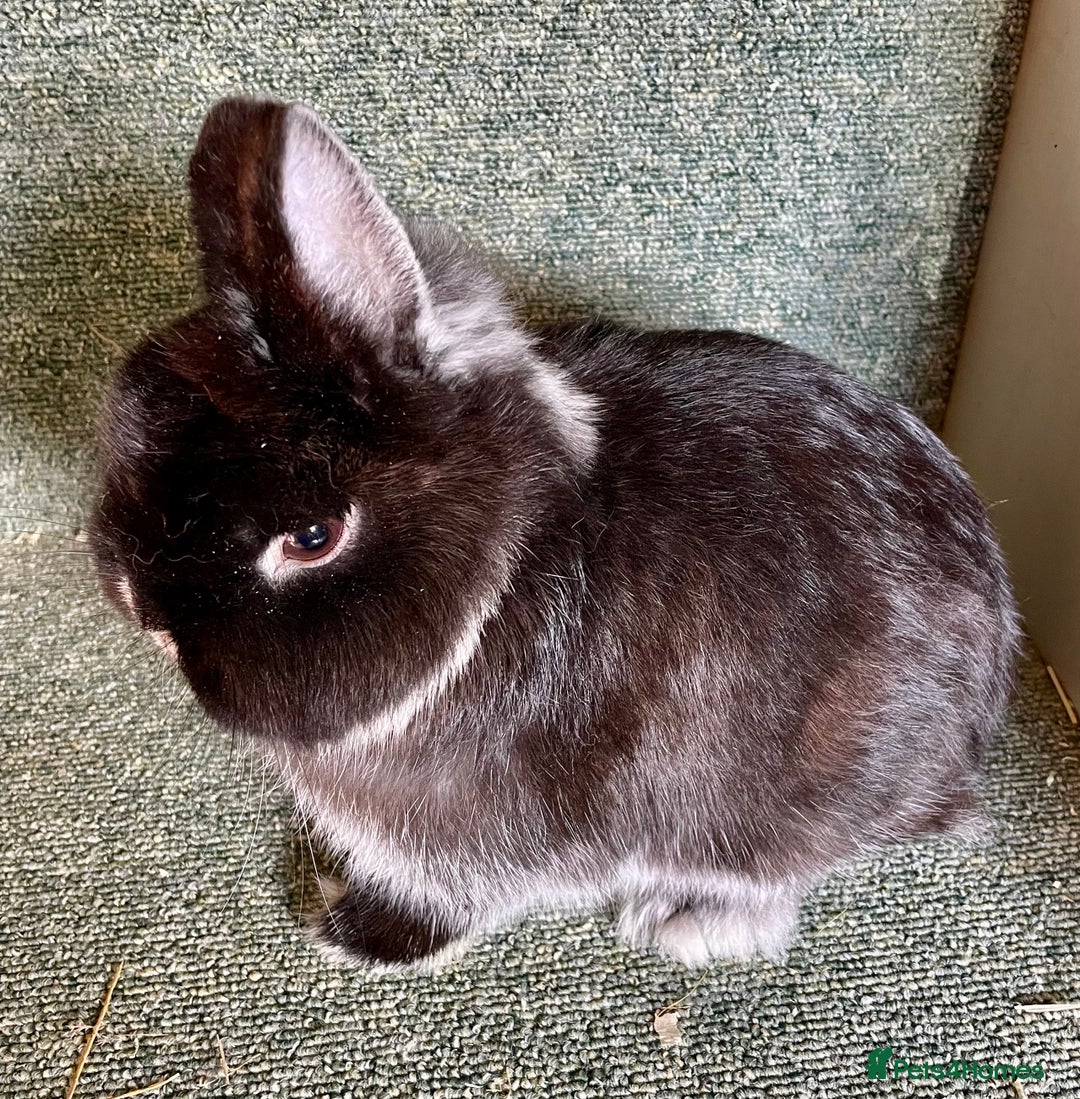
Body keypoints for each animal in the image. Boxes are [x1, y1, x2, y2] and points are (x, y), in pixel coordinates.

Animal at [90, 96, 1020, 971]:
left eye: (313, 536)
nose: (145, 611)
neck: (495, 583)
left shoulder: (482, 830)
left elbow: (451, 891)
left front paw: (350, 929)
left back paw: (689, 921)